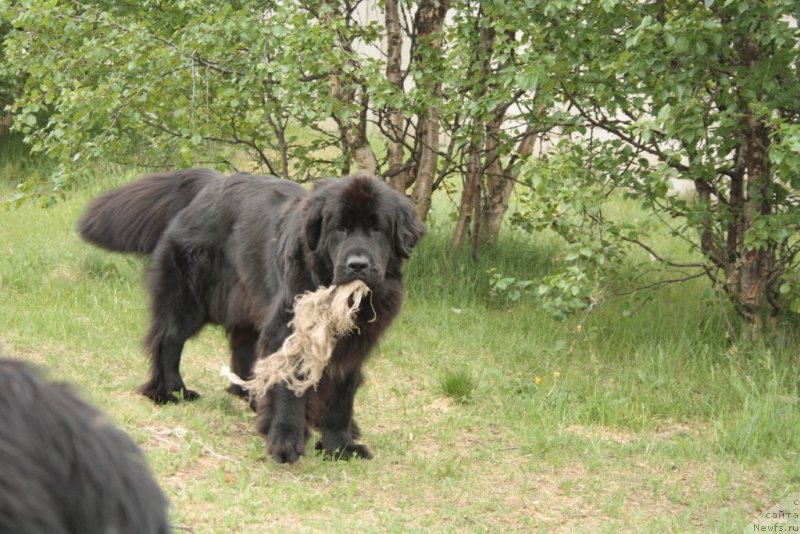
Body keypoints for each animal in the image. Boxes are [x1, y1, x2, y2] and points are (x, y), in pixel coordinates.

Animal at [79, 170, 424, 462]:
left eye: (377, 229)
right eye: (339, 229)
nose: (357, 265)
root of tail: (211, 180)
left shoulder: (355, 345)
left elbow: (342, 395)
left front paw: (340, 446)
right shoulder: (288, 332)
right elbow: (290, 388)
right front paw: (285, 441)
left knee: (242, 347)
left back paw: (249, 394)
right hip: (186, 299)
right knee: (169, 340)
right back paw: (171, 392)